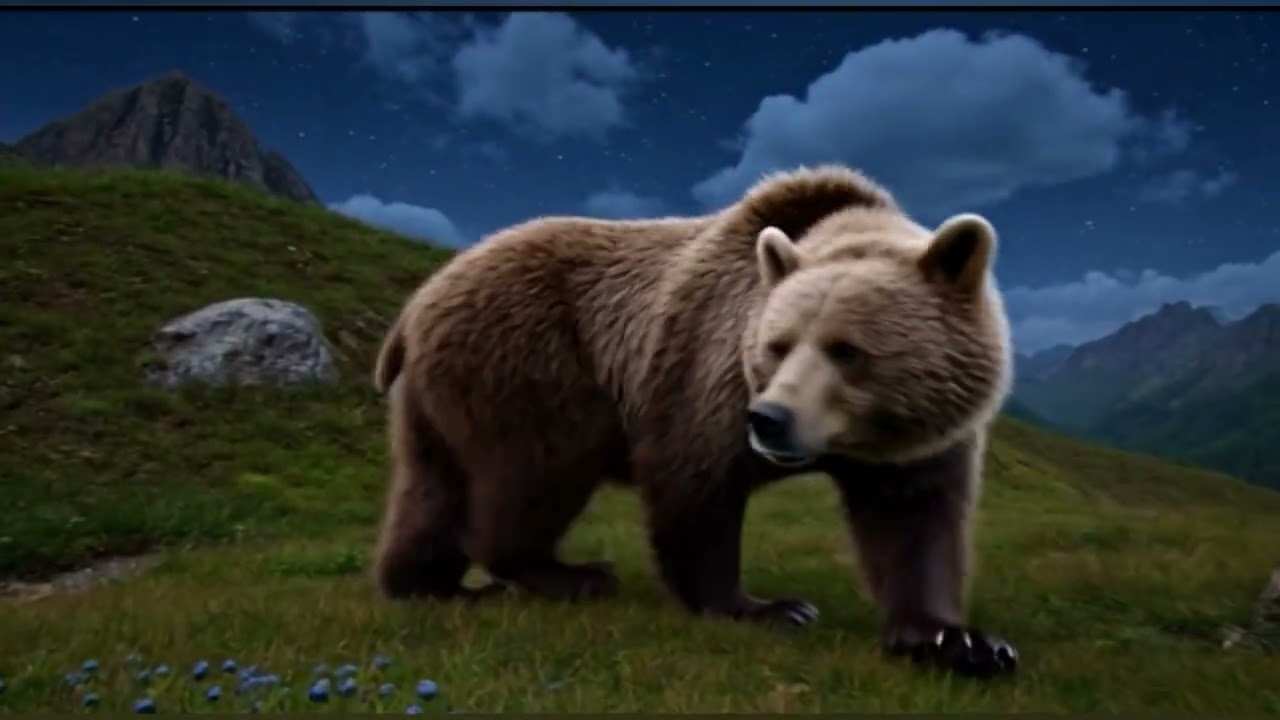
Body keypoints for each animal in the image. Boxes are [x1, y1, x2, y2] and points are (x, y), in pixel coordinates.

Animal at [371, 164, 1018, 679]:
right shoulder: (706, 365)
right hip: (532, 364)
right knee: (534, 476)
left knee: (430, 489)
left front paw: (958, 640)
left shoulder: (917, 444)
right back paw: (569, 573)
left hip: (438, 397)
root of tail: (417, 304)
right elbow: (695, 486)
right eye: (778, 345)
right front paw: (768, 608)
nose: (770, 418)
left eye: (848, 350)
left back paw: (430, 584)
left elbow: (915, 522)